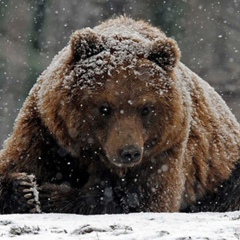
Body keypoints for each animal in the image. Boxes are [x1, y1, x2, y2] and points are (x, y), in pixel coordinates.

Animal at [0, 15, 240, 213]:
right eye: (104, 108)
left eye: (146, 108)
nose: (129, 152)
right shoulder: (46, 130)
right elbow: (18, 161)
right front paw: (25, 190)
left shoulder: (166, 147)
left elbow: (143, 199)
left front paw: (51, 195)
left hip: (225, 170)